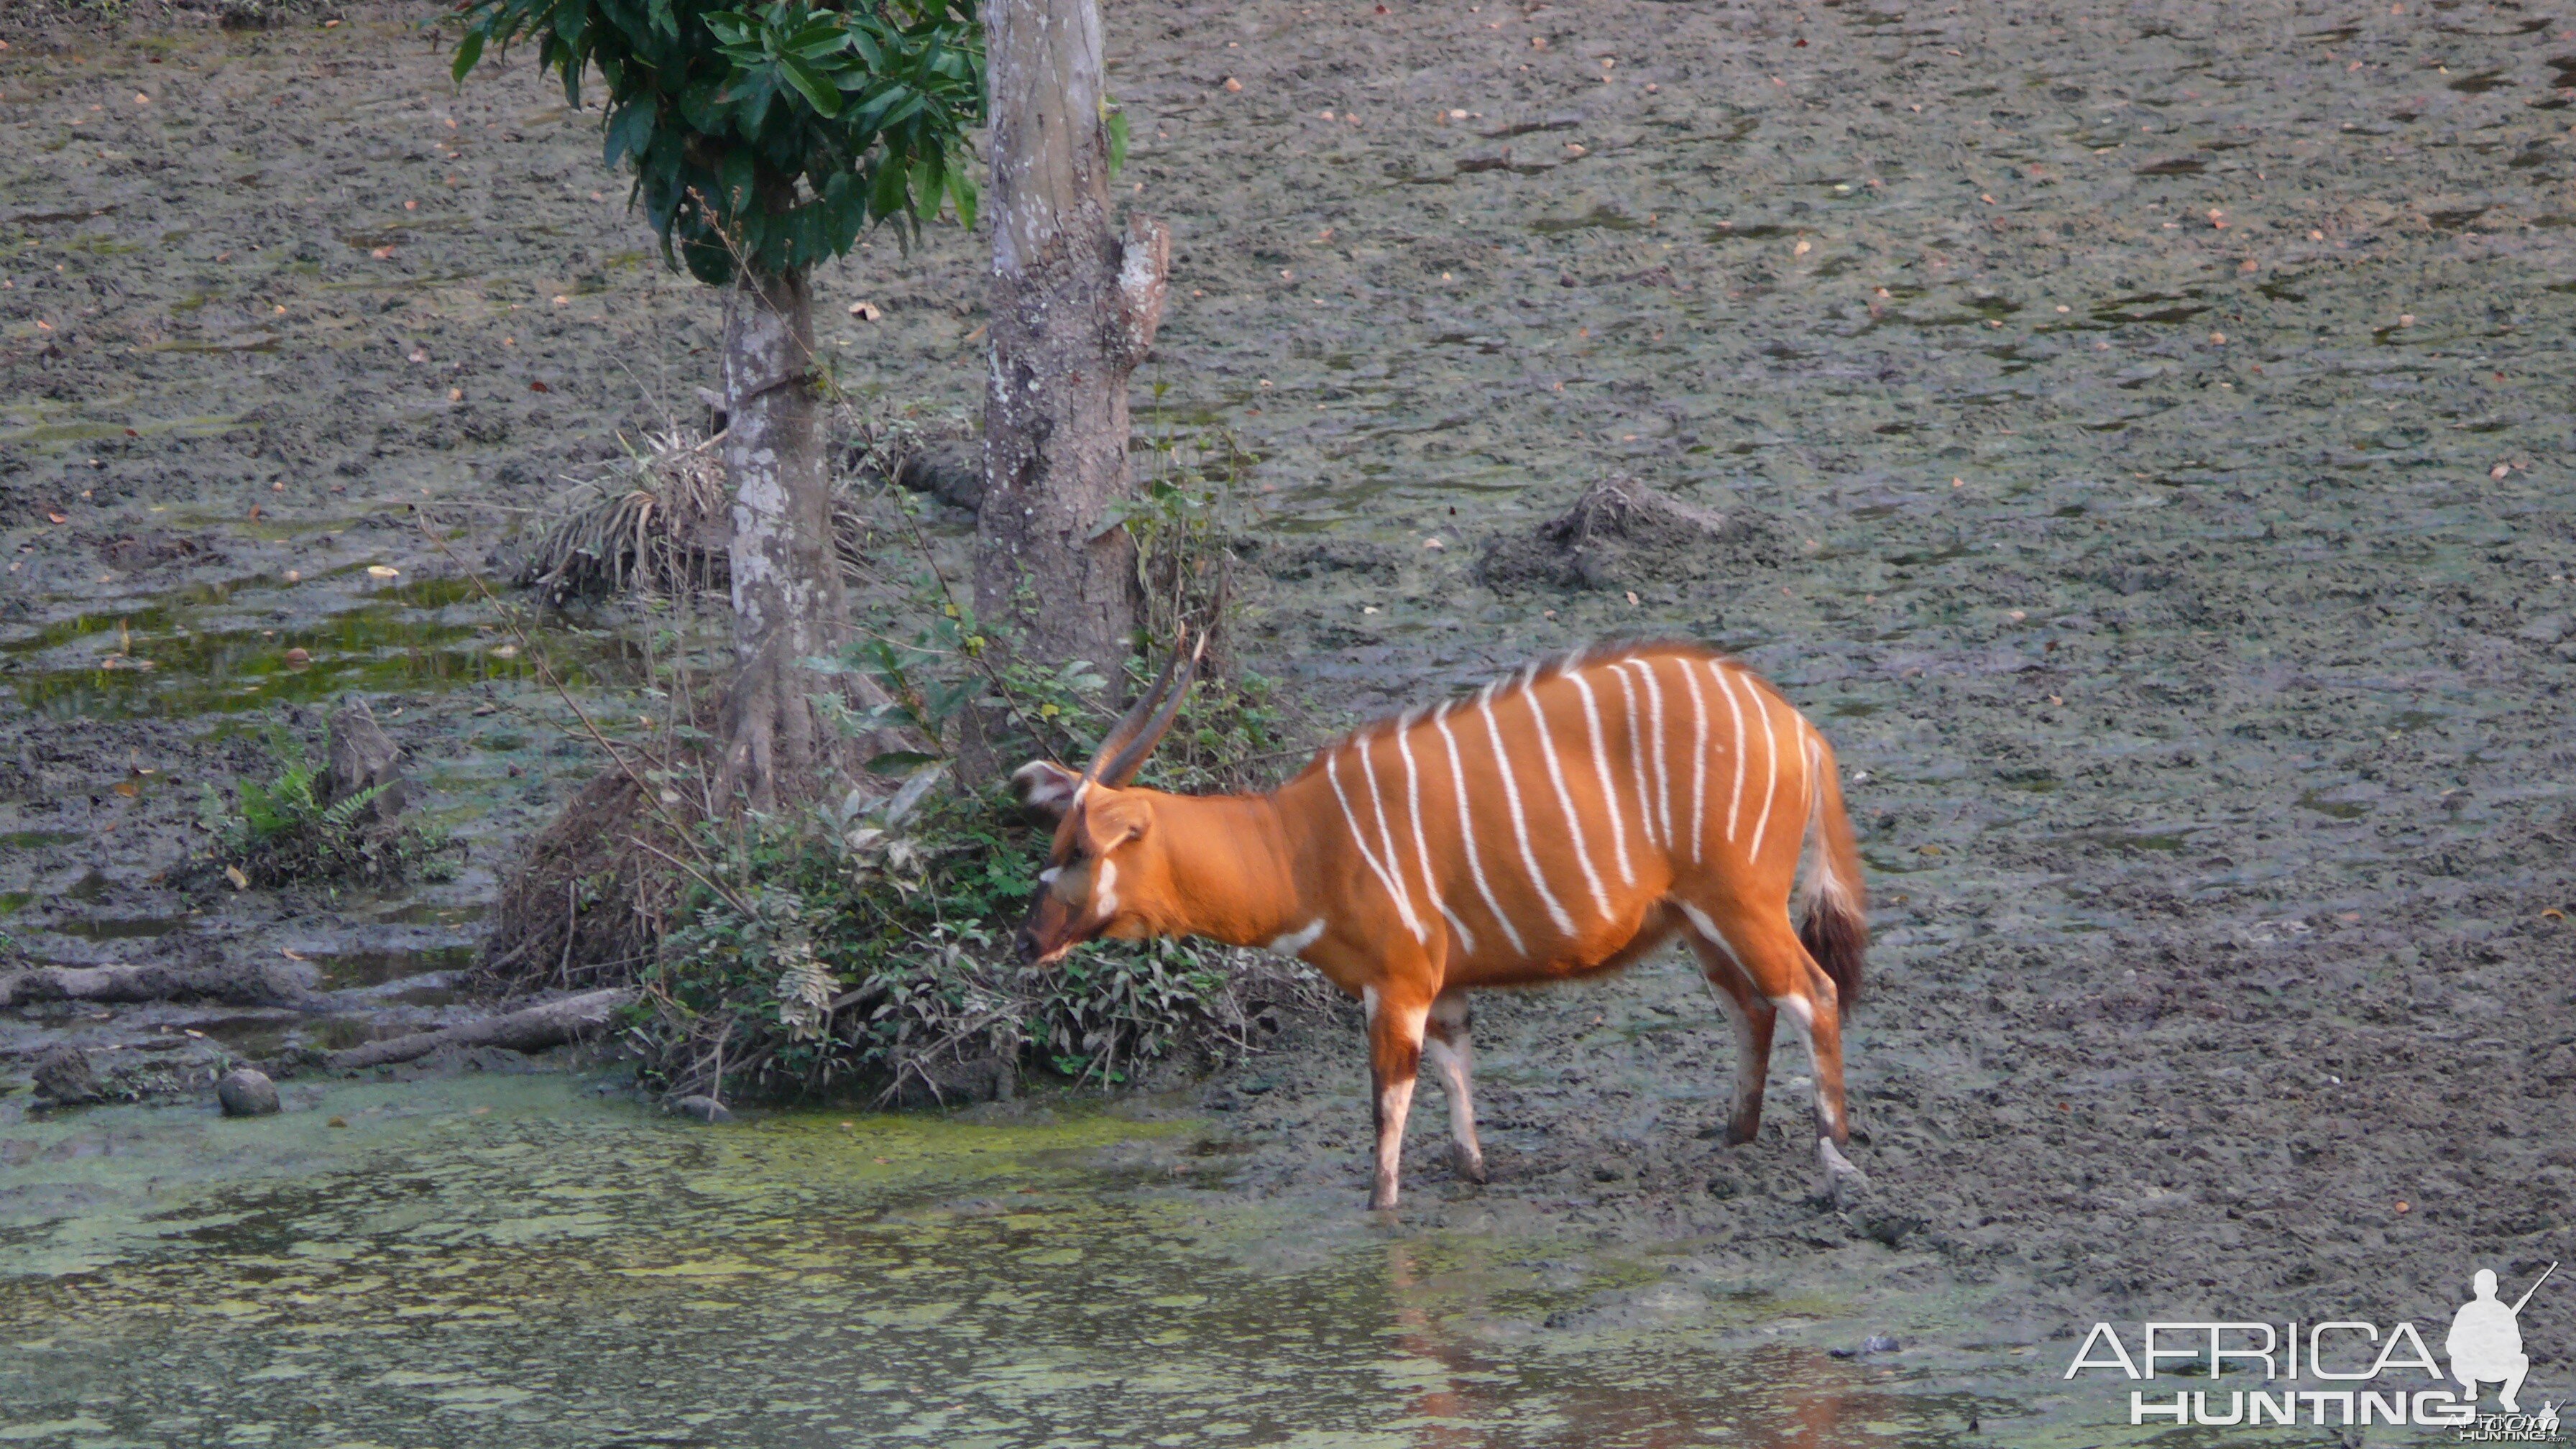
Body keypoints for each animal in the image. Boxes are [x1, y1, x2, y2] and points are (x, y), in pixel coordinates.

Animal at [1009, 631, 1875, 1206]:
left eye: (1079, 849)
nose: (1028, 941)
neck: (1299, 844)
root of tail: (1798, 725)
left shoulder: (1398, 984)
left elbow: (1386, 1107)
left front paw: (1381, 1212)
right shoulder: (1445, 988)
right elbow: (1458, 1082)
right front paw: (1473, 1172)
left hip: (1741, 904)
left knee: (1813, 993)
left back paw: (1833, 1151)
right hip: (1698, 922)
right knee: (1752, 1008)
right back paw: (1734, 1139)